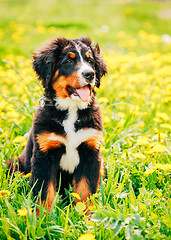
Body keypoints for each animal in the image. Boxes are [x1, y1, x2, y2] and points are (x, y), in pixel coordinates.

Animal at [8, 36, 107, 213]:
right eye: (68, 60)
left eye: (90, 60)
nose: (90, 74)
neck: (72, 110)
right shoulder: (45, 154)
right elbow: (44, 191)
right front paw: (43, 217)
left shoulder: (90, 152)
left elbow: (86, 190)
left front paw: (87, 216)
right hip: (15, 165)